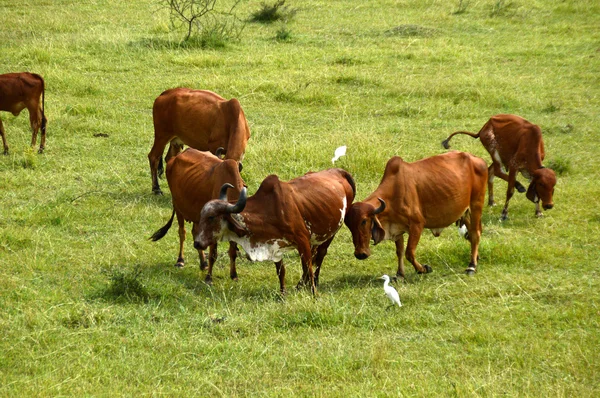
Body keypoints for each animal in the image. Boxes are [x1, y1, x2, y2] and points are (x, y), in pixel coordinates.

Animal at [149, 148, 244, 282]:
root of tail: (175, 158)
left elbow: (232, 252)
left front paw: (234, 275)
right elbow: (213, 254)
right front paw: (209, 278)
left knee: (194, 232)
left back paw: (203, 263)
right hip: (178, 207)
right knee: (182, 233)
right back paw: (180, 260)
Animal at [192, 168, 354, 296]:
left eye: (211, 217)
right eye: (201, 215)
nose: (197, 243)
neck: (269, 211)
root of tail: (338, 171)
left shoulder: (302, 241)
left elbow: (307, 267)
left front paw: (314, 294)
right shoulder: (274, 245)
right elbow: (281, 271)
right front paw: (283, 294)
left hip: (331, 232)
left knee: (319, 256)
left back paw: (311, 282)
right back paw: (300, 285)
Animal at [342, 152, 488, 276]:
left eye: (364, 221)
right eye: (348, 225)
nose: (360, 254)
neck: (393, 194)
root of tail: (478, 159)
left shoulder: (417, 225)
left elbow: (409, 252)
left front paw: (423, 269)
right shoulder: (397, 228)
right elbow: (399, 252)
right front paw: (400, 274)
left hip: (476, 205)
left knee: (476, 234)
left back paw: (472, 266)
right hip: (465, 212)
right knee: (472, 234)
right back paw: (476, 257)